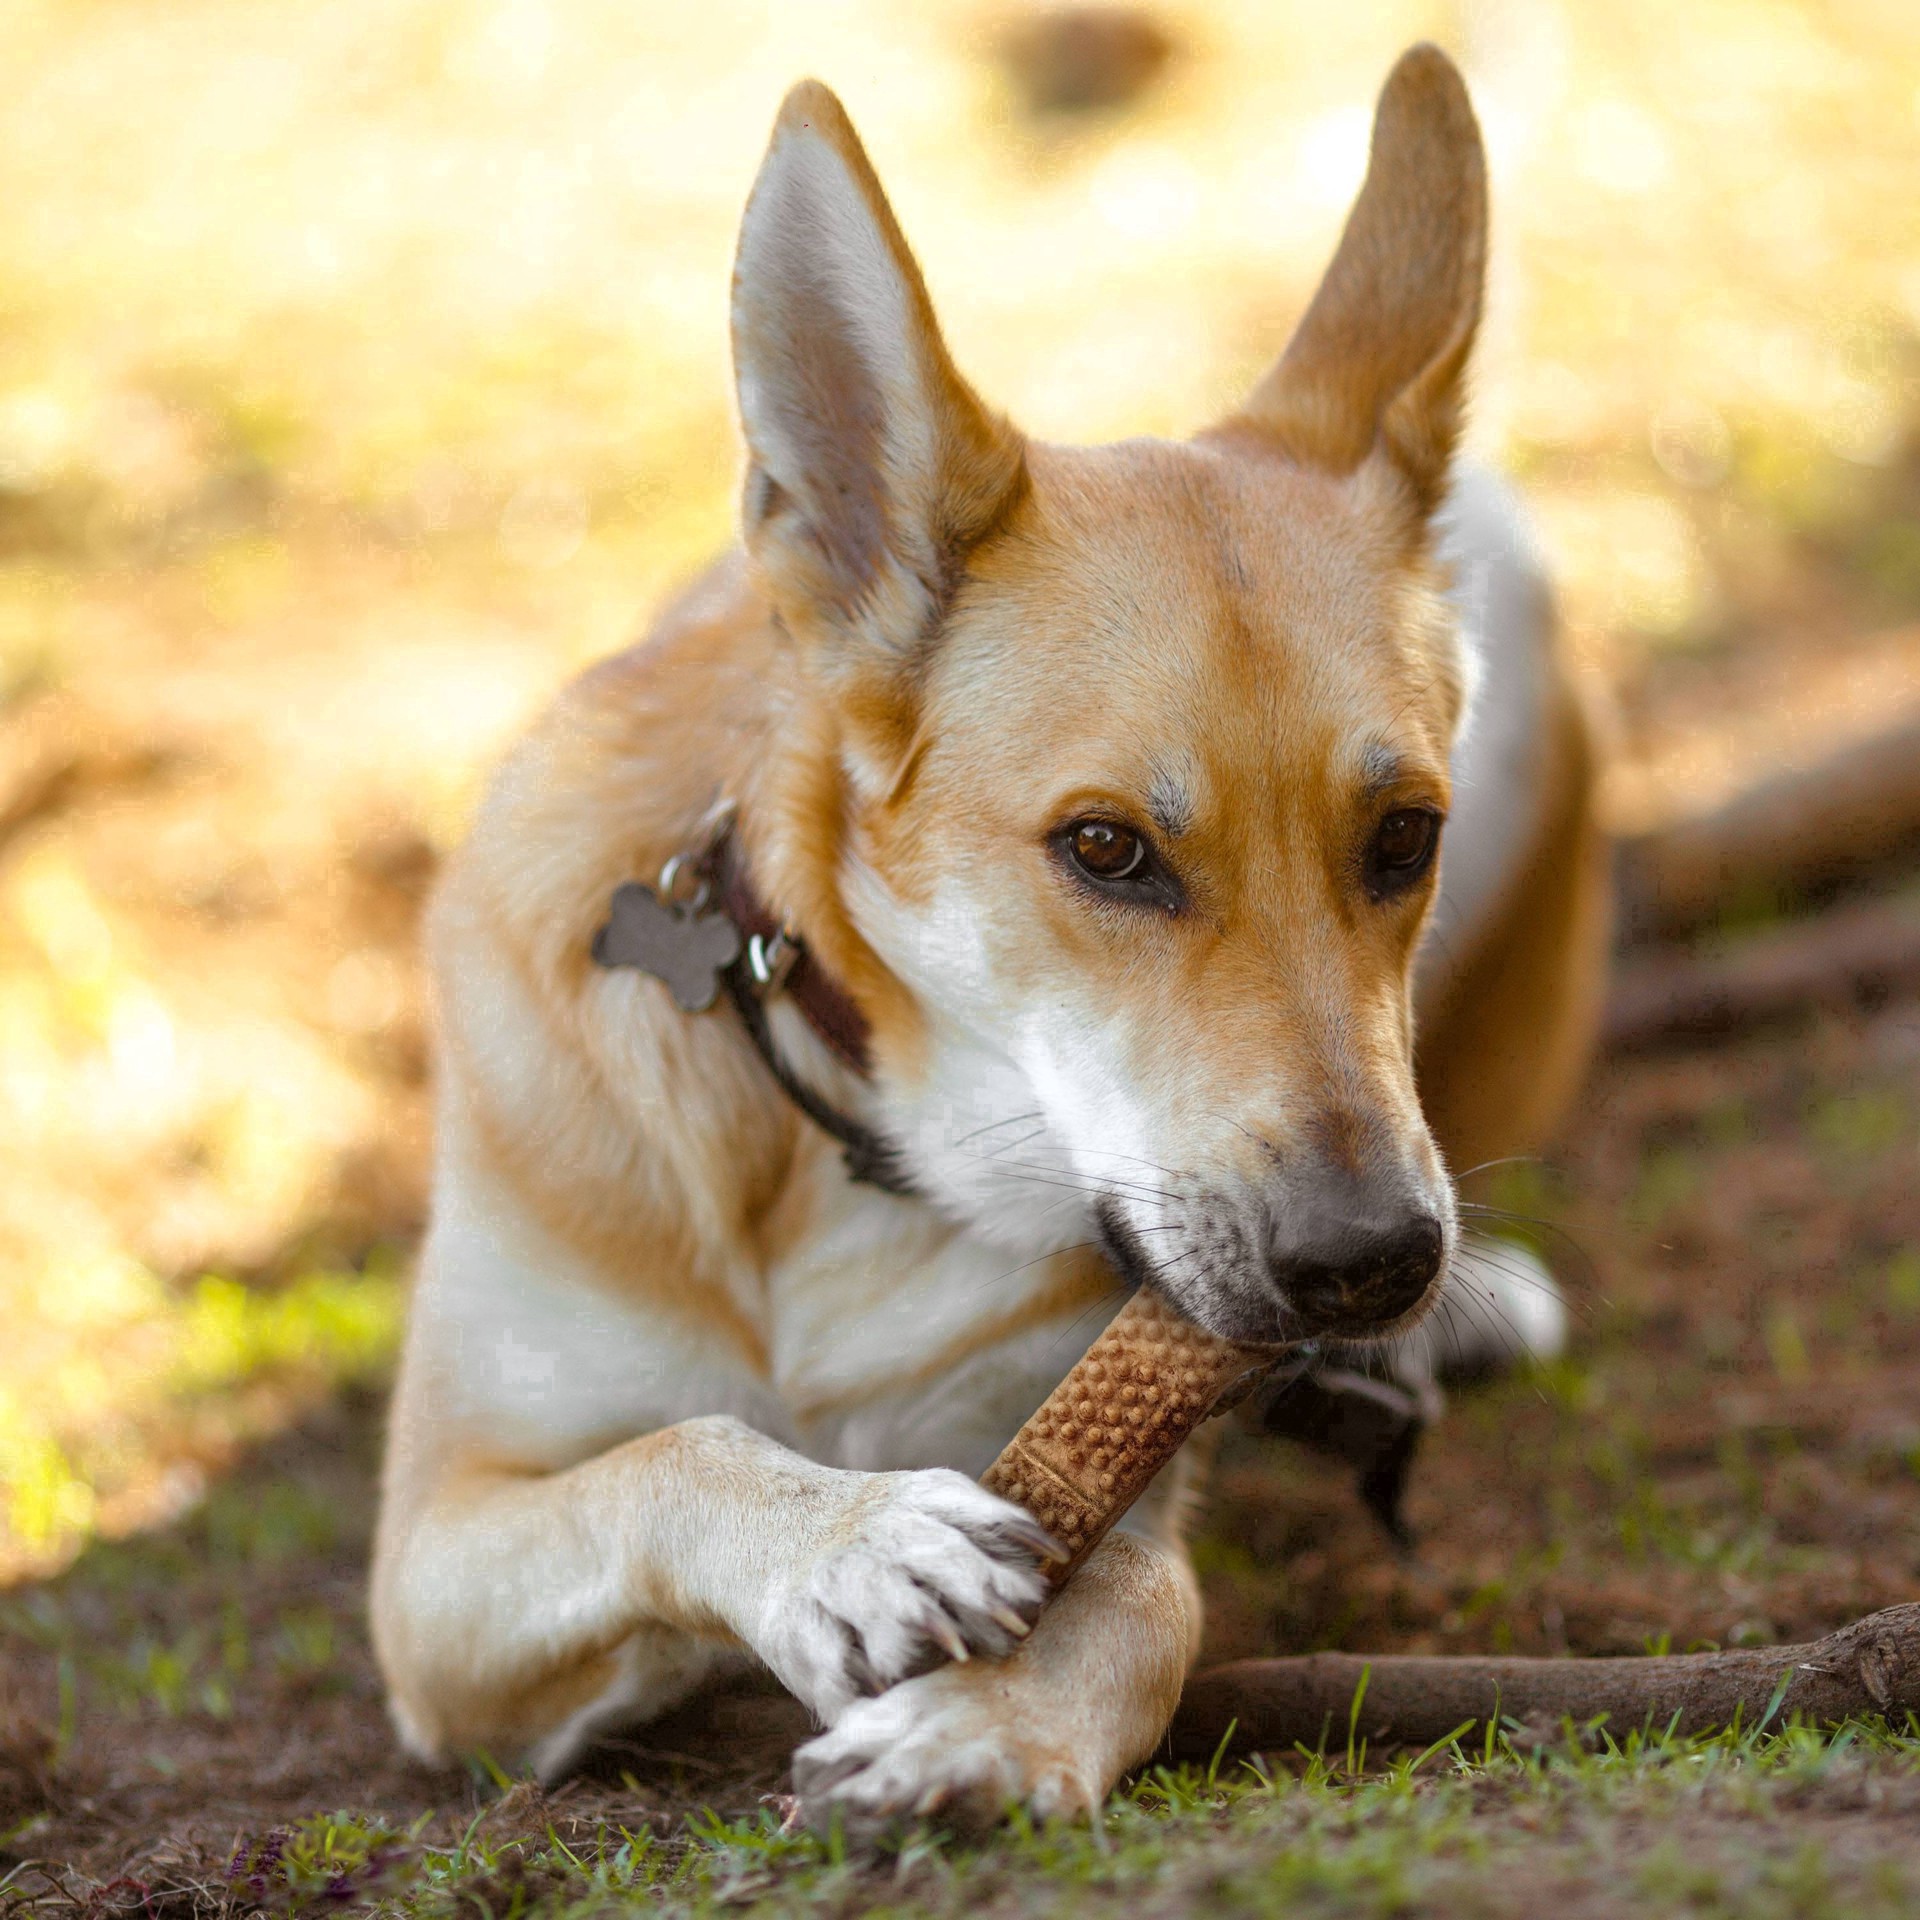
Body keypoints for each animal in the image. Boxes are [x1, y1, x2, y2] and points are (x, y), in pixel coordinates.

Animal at [366, 45, 1612, 1827]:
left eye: (1403, 838)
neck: (862, 1161)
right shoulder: (434, 1570)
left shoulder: (1110, 1446)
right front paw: (847, 1538)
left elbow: (1147, 1601)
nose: (1371, 1263)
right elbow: (668, 1455)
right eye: (1106, 849)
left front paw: (991, 1724)